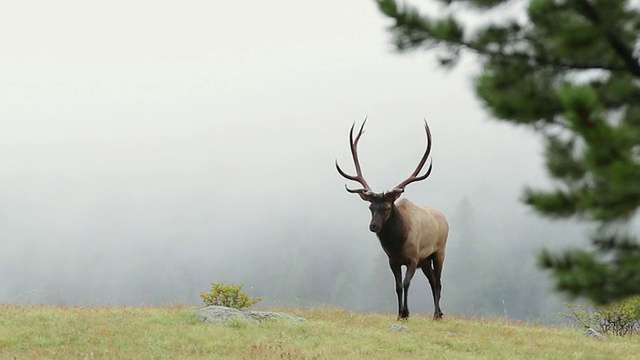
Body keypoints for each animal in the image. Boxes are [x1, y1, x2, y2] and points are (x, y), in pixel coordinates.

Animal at [338, 119, 448, 320]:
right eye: (371, 207)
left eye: (388, 207)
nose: (373, 226)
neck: (398, 243)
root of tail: (444, 218)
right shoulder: (392, 260)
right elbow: (397, 286)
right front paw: (399, 314)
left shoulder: (413, 258)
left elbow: (405, 283)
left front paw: (406, 312)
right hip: (425, 260)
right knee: (432, 280)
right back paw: (439, 312)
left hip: (439, 252)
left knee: (438, 281)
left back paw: (437, 314)